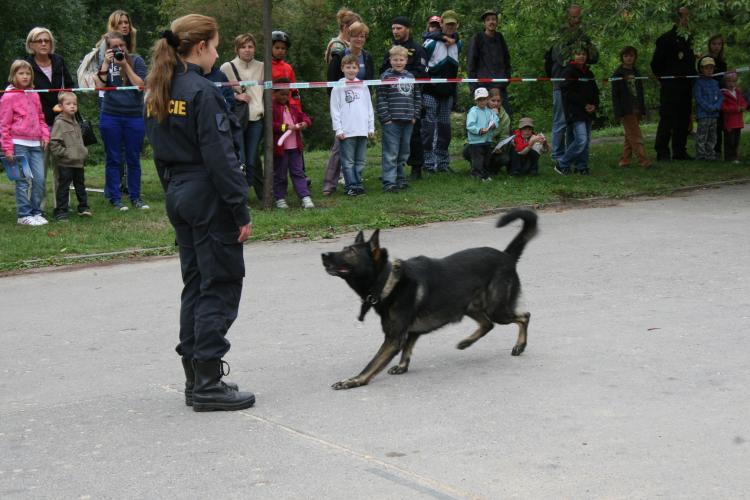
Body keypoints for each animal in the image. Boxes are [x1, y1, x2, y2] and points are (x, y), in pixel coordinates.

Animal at [320, 209, 536, 388]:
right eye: (344, 248)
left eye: (350, 252)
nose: (323, 254)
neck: (387, 279)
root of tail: (506, 256)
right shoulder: (411, 332)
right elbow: (407, 348)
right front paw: (402, 366)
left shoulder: (393, 338)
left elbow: (372, 364)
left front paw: (353, 381)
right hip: (470, 307)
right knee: (488, 324)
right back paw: (466, 343)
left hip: (496, 309)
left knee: (524, 316)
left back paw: (519, 346)